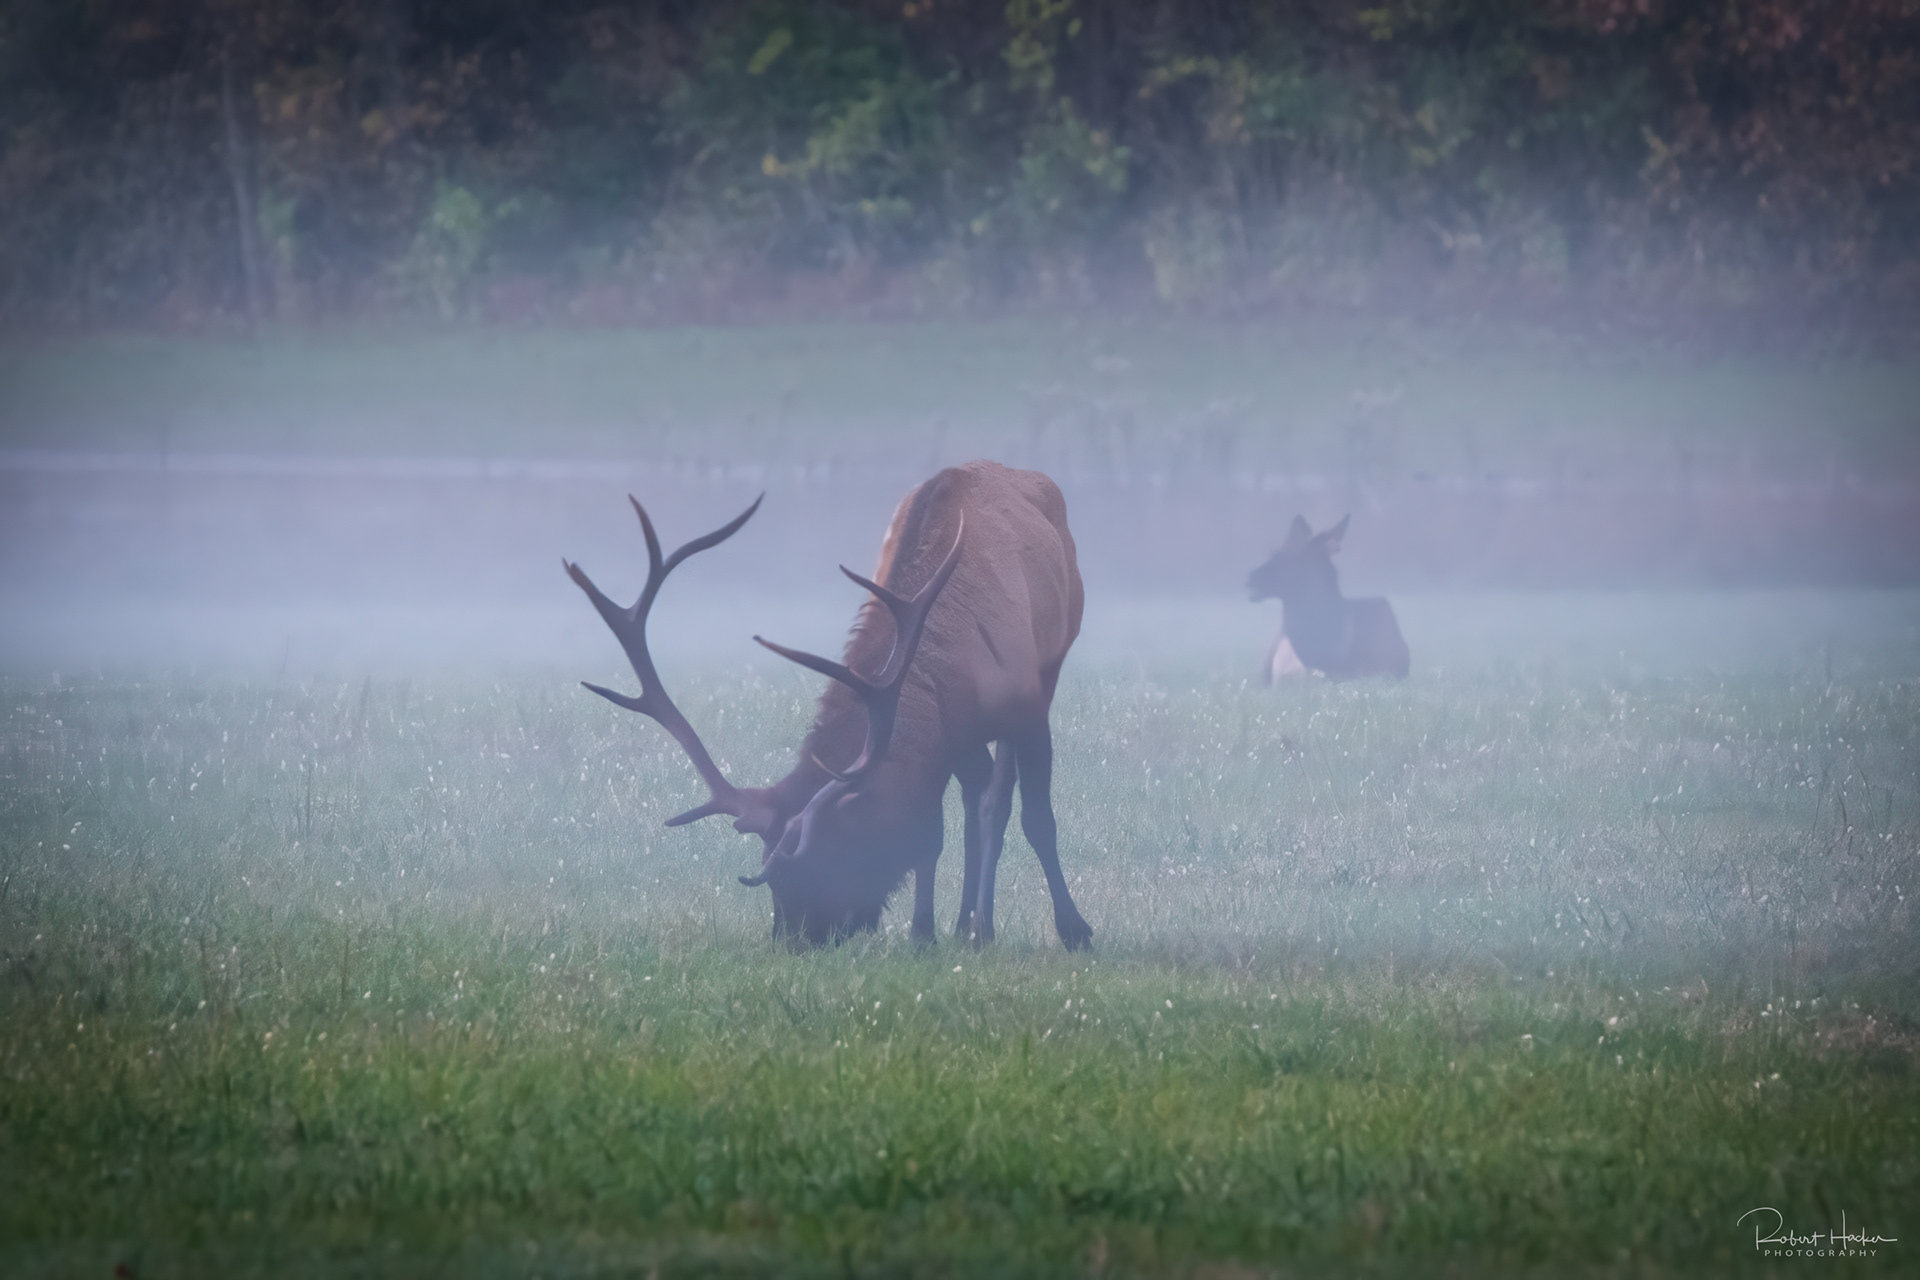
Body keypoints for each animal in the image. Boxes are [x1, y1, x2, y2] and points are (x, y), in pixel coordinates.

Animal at [564, 460, 1094, 951]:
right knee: (976, 803)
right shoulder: (949, 735)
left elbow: (1035, 820)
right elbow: (934, 835)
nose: (791, 939)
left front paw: (1074, 930)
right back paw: (968, 923)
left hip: (1051, 663)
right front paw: (925, 932)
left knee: (997, 803)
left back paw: (986, 925)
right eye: (769, 873)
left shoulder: (1027, 710)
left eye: (831, 856)